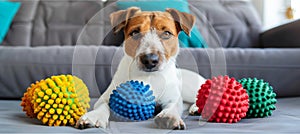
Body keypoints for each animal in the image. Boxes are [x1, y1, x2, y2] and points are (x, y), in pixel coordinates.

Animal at [76, 6, 205, 130]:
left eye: (167, 33)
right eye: (135, 33)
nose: (150, 59)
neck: (150, 77)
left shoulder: (172, 98)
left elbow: (174, 105)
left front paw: (169, 116)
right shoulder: (105, 97)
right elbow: (102, 106)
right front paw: (94, 116)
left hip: (189, 88)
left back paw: (197, 107)